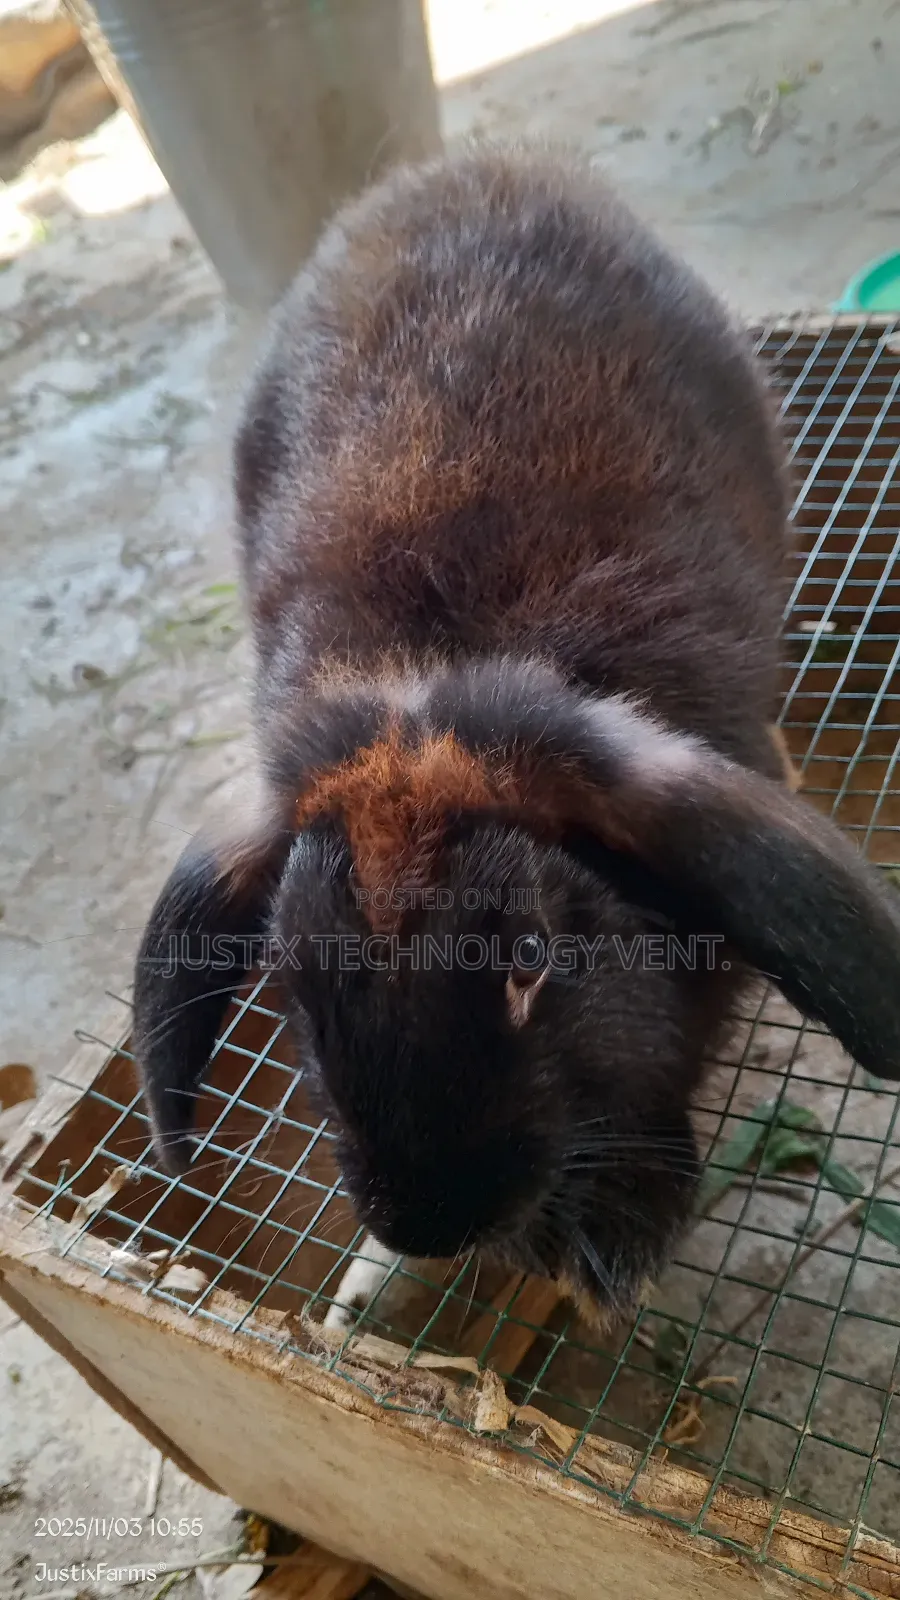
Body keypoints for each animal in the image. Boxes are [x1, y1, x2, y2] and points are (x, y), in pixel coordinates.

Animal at [132, 145, 900, 1331]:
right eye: (293, 976)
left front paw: (617, 1235)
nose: (428, 1225)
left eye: (533, 956)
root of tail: (465, 169)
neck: (433, 665)